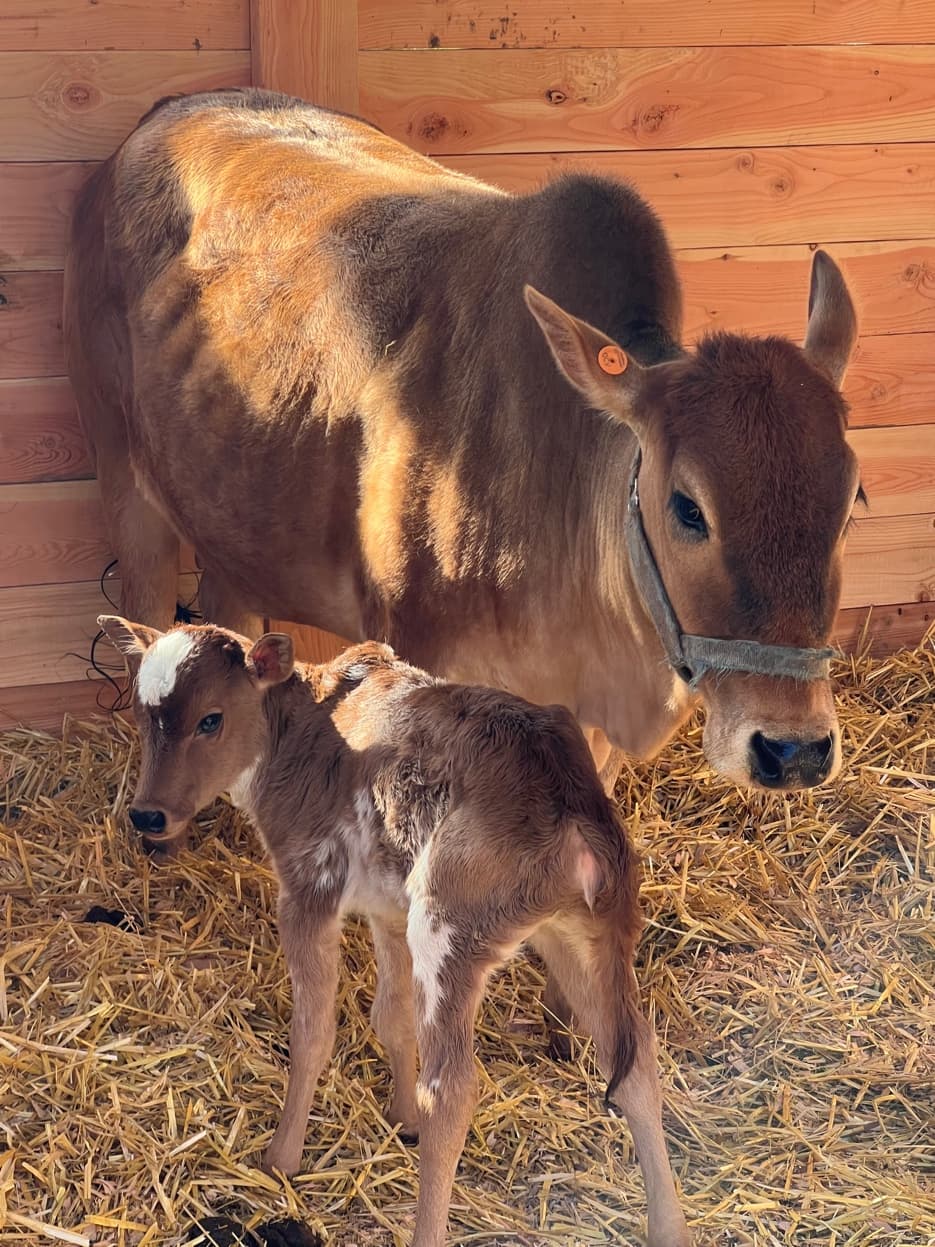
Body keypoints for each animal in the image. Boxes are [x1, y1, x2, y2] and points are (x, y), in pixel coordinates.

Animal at [97, 613, 692, 1247]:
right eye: (141, 714)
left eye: (211, 719)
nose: (148, 814)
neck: (297, 732)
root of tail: (574, 802)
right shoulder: (386, 908)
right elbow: (392, 1018)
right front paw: (401, 1118)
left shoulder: (310, 884)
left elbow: (313, 1033)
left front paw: (281, 1158)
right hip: (584, 934)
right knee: (636, 1064)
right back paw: (670, 1228)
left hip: (448, 929)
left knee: (454, 1090)